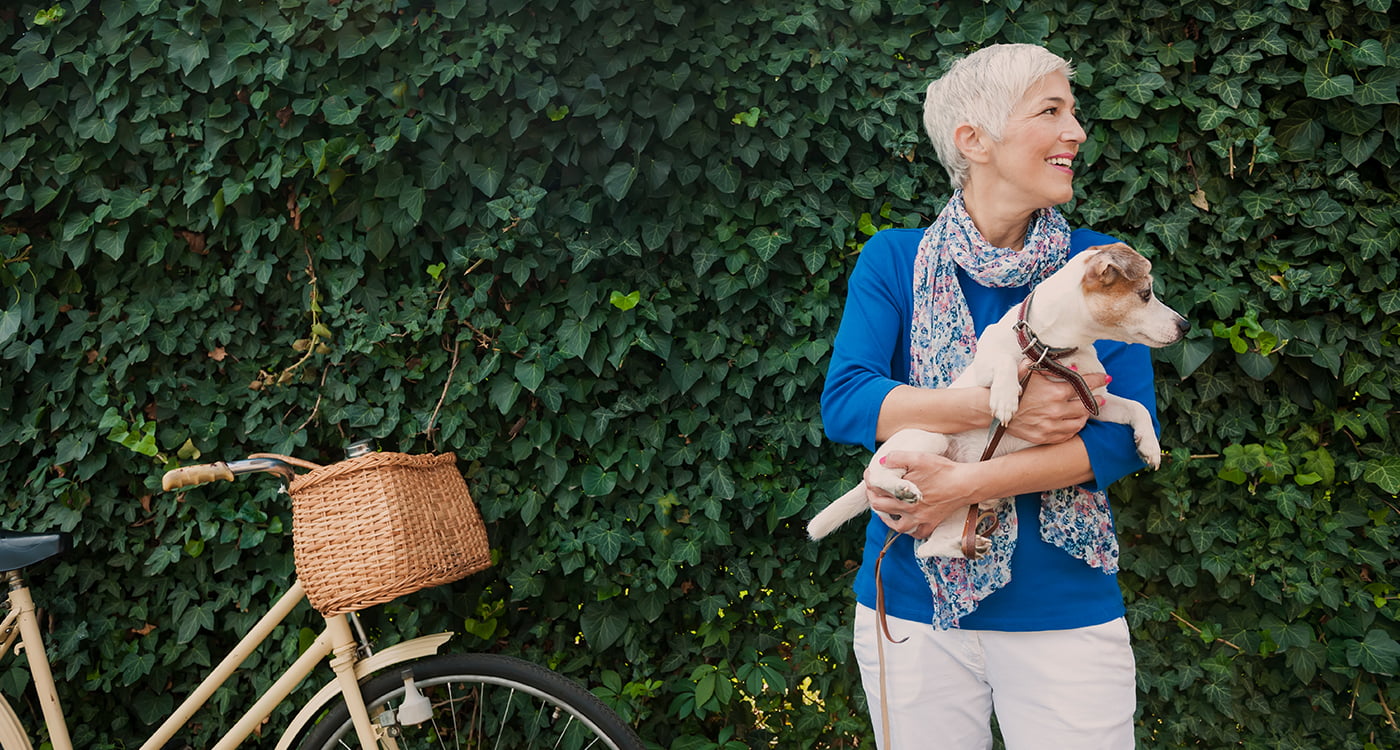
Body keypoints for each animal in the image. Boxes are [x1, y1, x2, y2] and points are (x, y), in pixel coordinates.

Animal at [812, 243, 1192, 559]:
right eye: (1145, 294)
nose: (1186, 325)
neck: (1049, 351)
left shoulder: (1095, 402)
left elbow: (1137, 407)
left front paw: (1149, 446)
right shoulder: (985, 368)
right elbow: (1004, 361)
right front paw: (1007, 398)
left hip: (959, 504)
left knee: (930, 547)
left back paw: (964, 543)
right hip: (927, 440)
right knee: (877, 470)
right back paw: (901, 487)